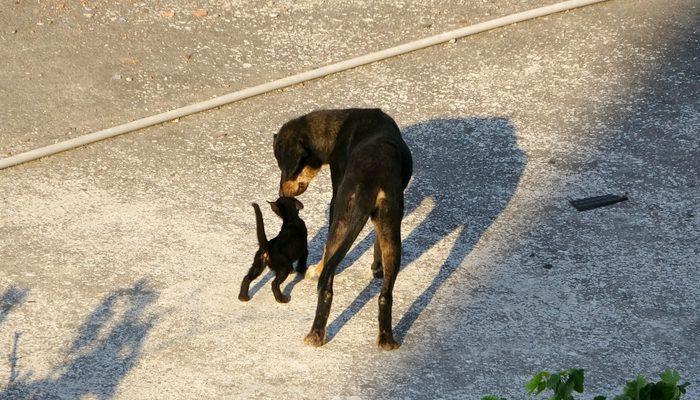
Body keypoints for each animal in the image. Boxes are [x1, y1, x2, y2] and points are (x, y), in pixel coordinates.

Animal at [272, 108, 412, 348]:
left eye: (287, 168)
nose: (281, 193)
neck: (336, 125)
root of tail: (371, 181)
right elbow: (375, 241)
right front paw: (377, 267)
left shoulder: (334, 196)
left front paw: (316, 269)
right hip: (391, 229)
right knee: (385, 295)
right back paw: (386, 339)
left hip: (341, 218)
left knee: (327, 285)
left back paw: (315, 334)